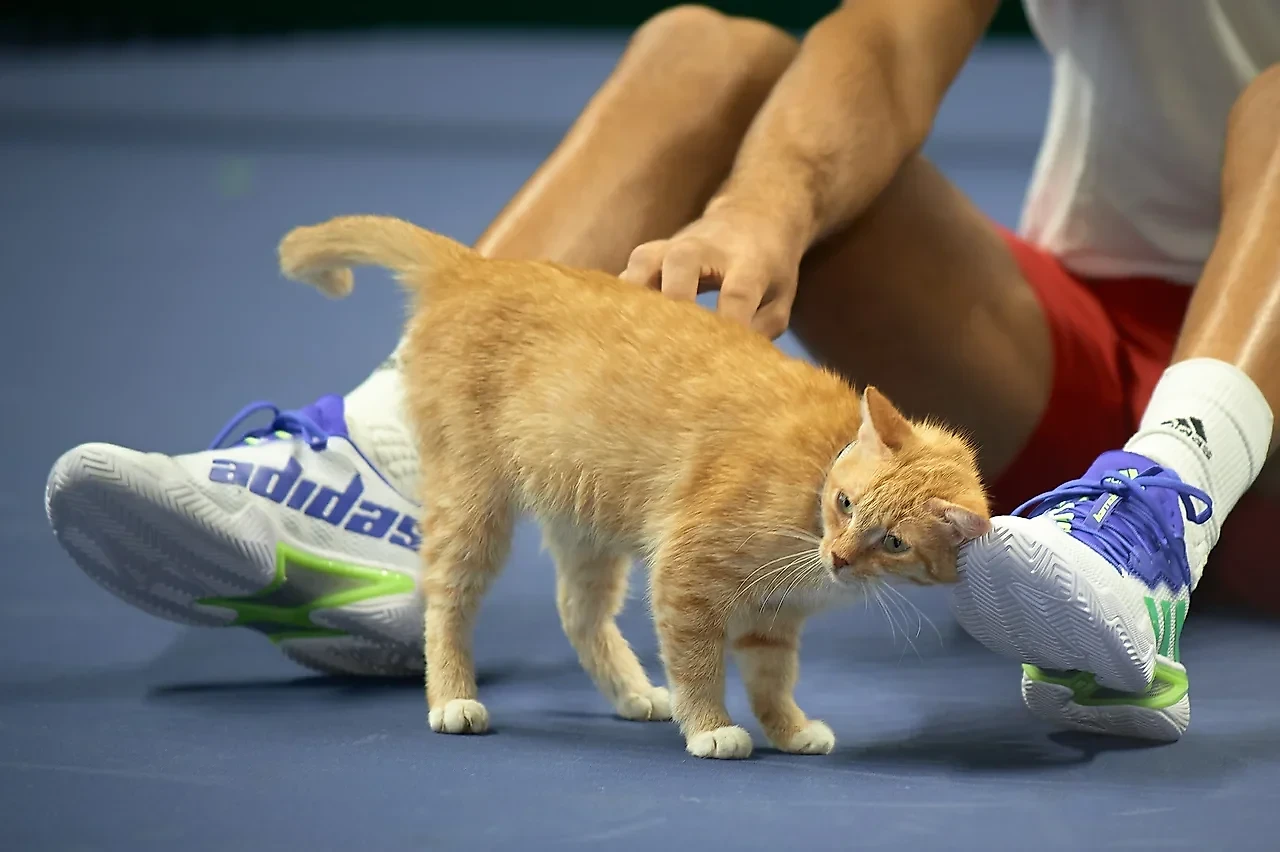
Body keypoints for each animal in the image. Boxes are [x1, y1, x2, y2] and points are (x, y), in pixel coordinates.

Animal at [280, 213, 988, 757]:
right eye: (844, 503)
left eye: (893, 543)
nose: (840, 559)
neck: (811, 488)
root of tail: (475, 267)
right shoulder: (685, 574)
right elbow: (699, 663)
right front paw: (711, 728)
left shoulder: (772, 619)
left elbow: (771, 679)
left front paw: (787, 730)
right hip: (472, 500)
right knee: (446, 599)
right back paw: (454, 698)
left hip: (585, 519)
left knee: (577, 610)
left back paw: (631, 691)